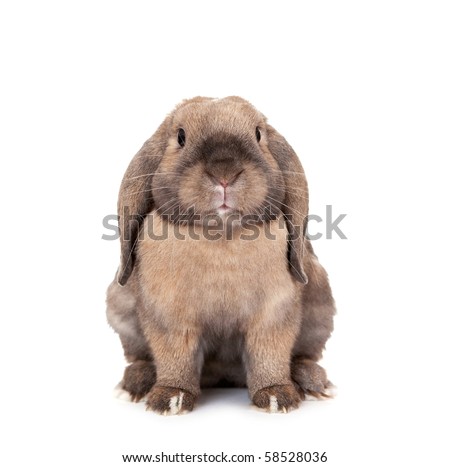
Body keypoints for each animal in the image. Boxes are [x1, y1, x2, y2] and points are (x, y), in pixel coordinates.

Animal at [106, 97, 334, 414]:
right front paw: (171, 398)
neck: (221, 234)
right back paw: (136, 384)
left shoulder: (273, 313)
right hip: (119, 304)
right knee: (141, 357)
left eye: (258, 134)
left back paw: (311, 383)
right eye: (180, 136)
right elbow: (175, 355)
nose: (224, 173)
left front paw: (276, 396)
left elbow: (269, 353)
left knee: (304, 356)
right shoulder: (170, 316)